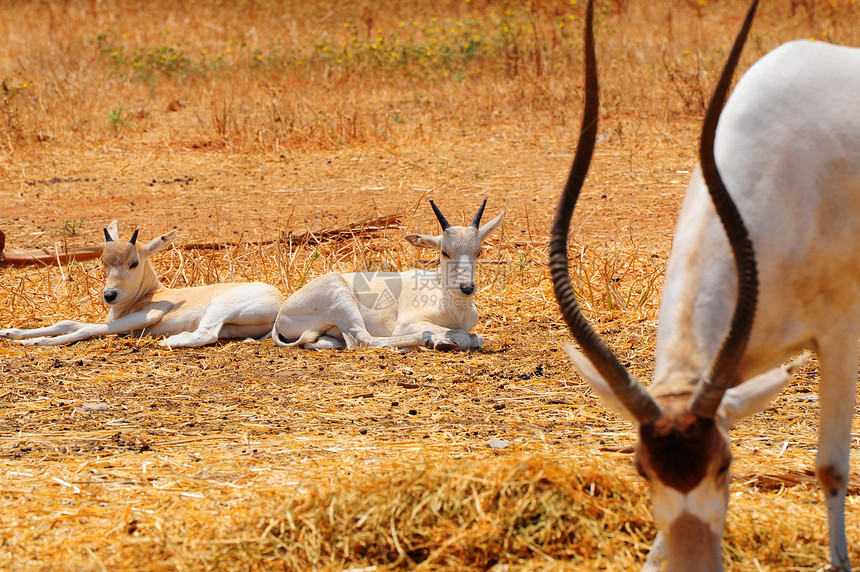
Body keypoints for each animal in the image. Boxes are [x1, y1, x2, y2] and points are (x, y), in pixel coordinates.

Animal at [0, 221, 286, 348]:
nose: (110, 295)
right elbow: (68, 323)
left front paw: (35, 342)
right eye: (103, 261)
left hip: (220, 308)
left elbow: (86, 329)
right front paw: (10, 332)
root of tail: (279, 300)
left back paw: (166, 341)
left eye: (134, 262)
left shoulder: (144, 317)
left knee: (206, 334)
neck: (151, 293)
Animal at [274, 201, 504, 354]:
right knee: (364, 339)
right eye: (445, 252)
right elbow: (465, 336)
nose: (466, 288)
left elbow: (477, 337)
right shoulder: (406, 324)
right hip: (342, 302)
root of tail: (280, 318)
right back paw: (430, 340)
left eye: (478, 252)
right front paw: (440, 340)